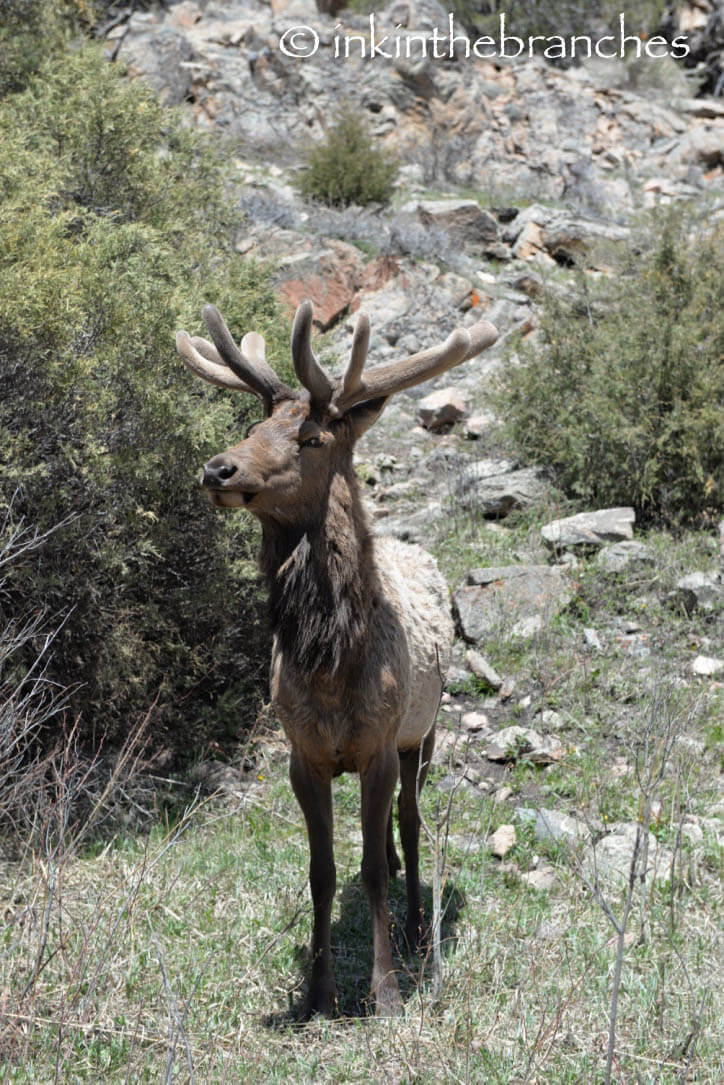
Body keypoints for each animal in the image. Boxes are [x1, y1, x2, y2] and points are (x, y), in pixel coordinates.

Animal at [175, 300, 498, 1017]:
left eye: (313, 440)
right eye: (254, 425)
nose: (218, 469)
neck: (330, 667)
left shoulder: (379, 746)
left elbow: (373, 871)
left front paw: (385, 991)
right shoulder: (305, 754)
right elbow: (322, 871)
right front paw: (317, 991)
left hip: (423, 733)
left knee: (410, 822)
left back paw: (416, 926)